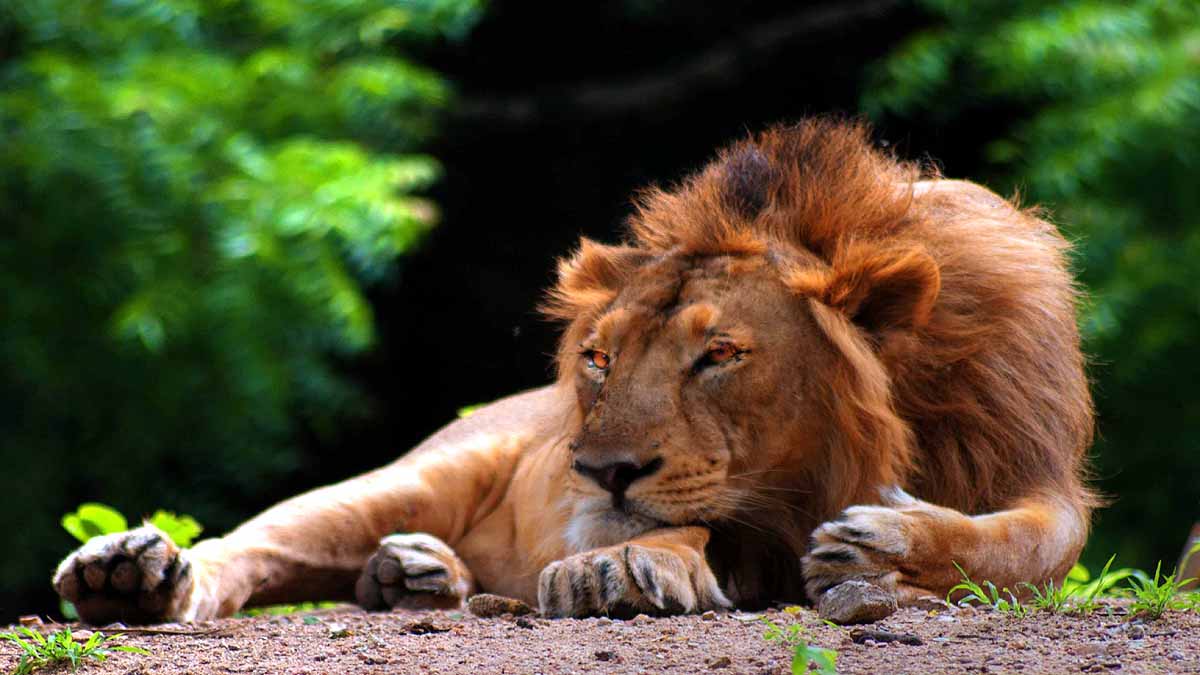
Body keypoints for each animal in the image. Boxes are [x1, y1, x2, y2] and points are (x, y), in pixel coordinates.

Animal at [53, 119, 1096, 624]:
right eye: (599, 358)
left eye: (719, 355)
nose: (596, 471)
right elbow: (681, 531)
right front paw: (619, 564)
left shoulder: (1043, 477)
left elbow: (1022, 546)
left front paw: (884, 546)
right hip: (408, 475)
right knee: (253, 544)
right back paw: (134, 574)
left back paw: (417, 576)